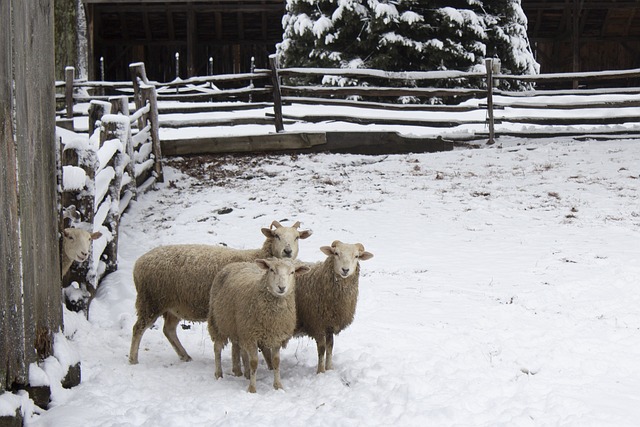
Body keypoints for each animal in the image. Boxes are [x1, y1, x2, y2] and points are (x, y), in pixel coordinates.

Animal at [128, 222, 312, 366]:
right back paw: (133, 359)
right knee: (138, 328)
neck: (258, 256)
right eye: (276, 235)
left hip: (173, 305)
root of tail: (138, 262)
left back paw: (184, 355)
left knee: (169, 330)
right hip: (150, 300)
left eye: (297, 237)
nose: (287, 251)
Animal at [208, 258, 310, 394]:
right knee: (217, 348)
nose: (281, 287)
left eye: (292, 272)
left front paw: (278, 386)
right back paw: (219, 374)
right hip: (218, 323)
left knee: (239, 349)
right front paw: (252, 389)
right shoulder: (251, 335)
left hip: (238, 327)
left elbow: (276, 362)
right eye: (271, 270)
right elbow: (254, 363)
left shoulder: (276, 336)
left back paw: (244, 373)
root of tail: (237, 263)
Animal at [290, 242, 370, 376]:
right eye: (336, 253)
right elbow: (322, 349)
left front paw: (329, 368)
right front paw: (321, 371)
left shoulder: (330, 324)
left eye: (357, 256)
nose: (345, 270)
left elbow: (330, 346)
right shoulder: (317, 324)